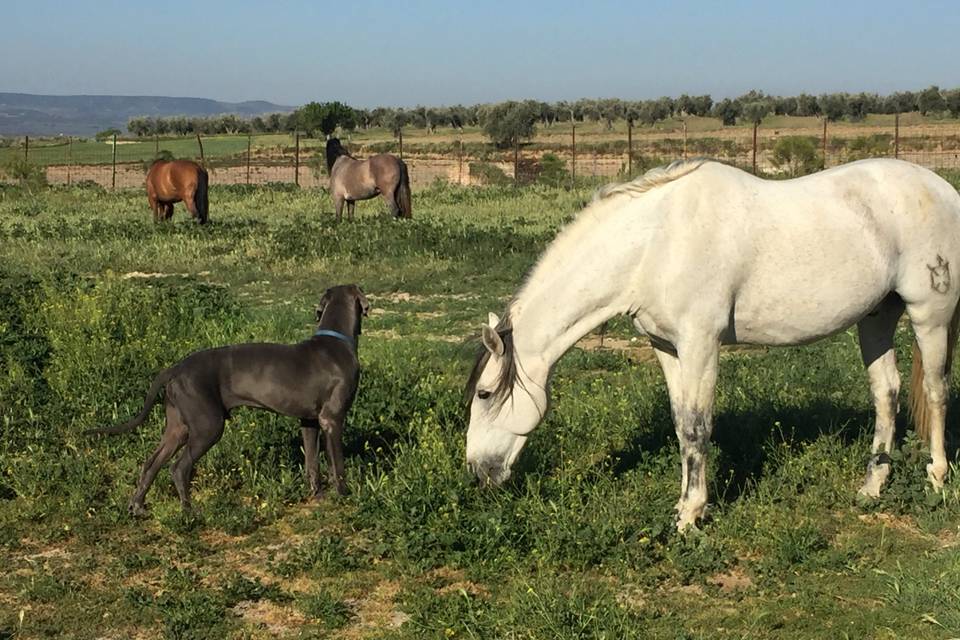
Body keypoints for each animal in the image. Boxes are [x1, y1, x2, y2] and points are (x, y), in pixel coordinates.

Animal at [87, 284, 368, 516]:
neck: (337, 341)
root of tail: (175, 368)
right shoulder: (332, 419)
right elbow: (337, 464)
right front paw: (344, 496)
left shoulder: (308, 421)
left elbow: (312, 462)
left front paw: (318, 495)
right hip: (208, 425)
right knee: (179, 467)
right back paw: (189, 511)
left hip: (178, 426)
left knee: (151, 462)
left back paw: (137, 506)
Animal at [464, 159, 960, 528]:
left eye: (485, 395)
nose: (476, 473)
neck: (654, 242)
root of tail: (944, 190)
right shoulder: (667, 347)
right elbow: (681, 424)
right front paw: (683, 505)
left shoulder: (701, 344)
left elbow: (698, 426)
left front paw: (692, 516)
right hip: (876, 317)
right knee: (886, 392)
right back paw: (872, 487)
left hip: (929, 315)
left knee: (935, 391)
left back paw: (937, 480)